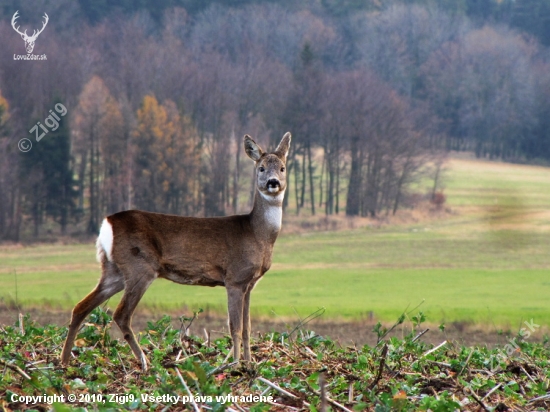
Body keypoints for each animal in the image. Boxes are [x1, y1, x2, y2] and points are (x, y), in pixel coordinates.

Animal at [59, 132, 292, 370]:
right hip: (139, 266)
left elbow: (247, 328)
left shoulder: (249, 284)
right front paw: (235, 365)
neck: (257, 234)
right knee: (121, 314)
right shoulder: (234, 278)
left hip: (114, 270)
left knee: (81, 307)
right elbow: (234, 327)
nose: (273, 182)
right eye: (261, 168)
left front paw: (249, 363)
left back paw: (64, 361)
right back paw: (144, 362)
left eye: (282, 167)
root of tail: (107, 223)